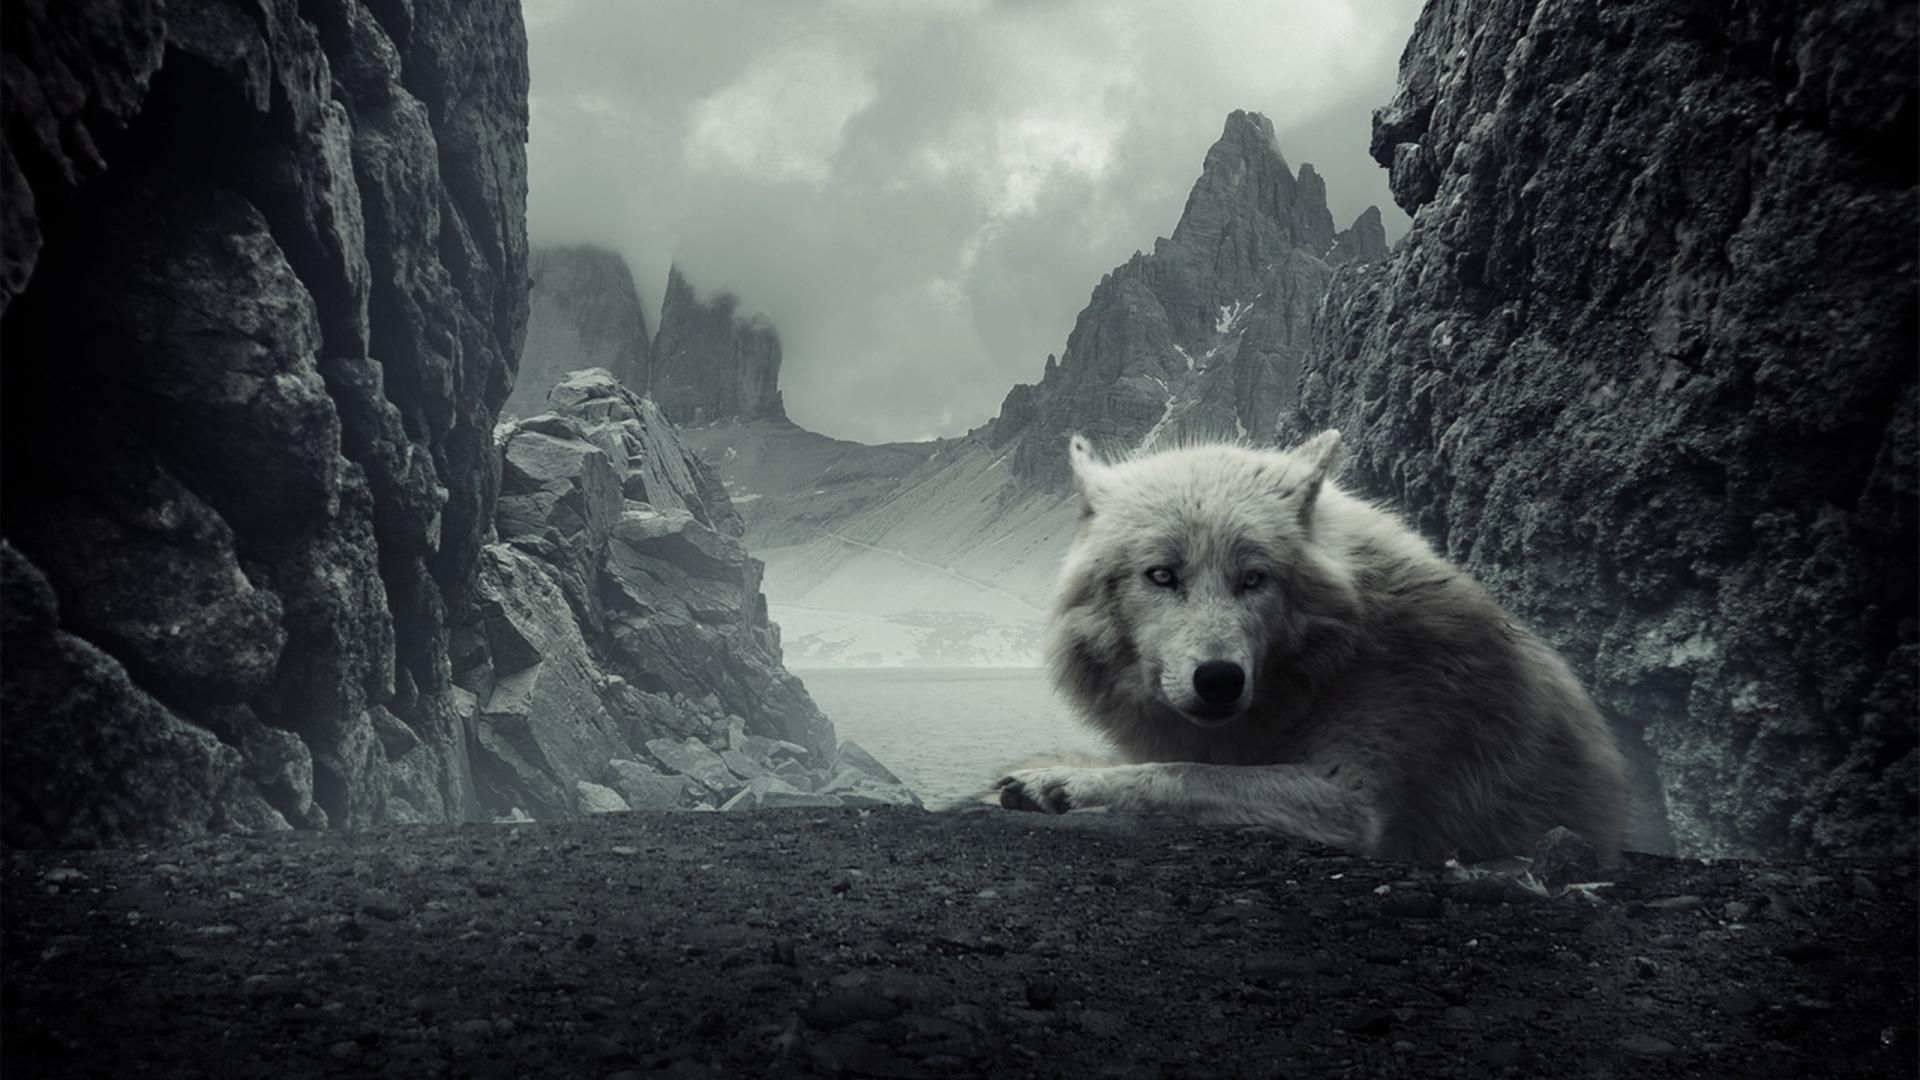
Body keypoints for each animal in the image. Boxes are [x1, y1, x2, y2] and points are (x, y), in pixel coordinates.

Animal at [996, 431, 1627, 862]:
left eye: (1254, 579)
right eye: (1162, 575)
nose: (1220, 680)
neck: (1330, 666)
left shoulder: (1352, 799)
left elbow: (1181, 774)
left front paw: (1058, 782)